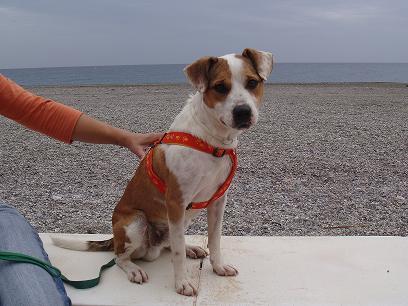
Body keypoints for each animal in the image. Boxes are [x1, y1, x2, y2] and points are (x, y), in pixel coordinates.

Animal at [51, 48, 274, 296]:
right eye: (220, 87)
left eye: (252, 82)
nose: (243, 112)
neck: (211, 140)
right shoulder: (176, 202)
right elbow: (177, 255)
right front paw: (182, 283)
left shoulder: (218, 201)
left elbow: (214, 240)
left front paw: (218, 267)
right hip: (137, 223)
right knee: (121, 257)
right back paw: (134, 269)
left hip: (178, 223)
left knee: (171, 243)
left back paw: (190, 248)